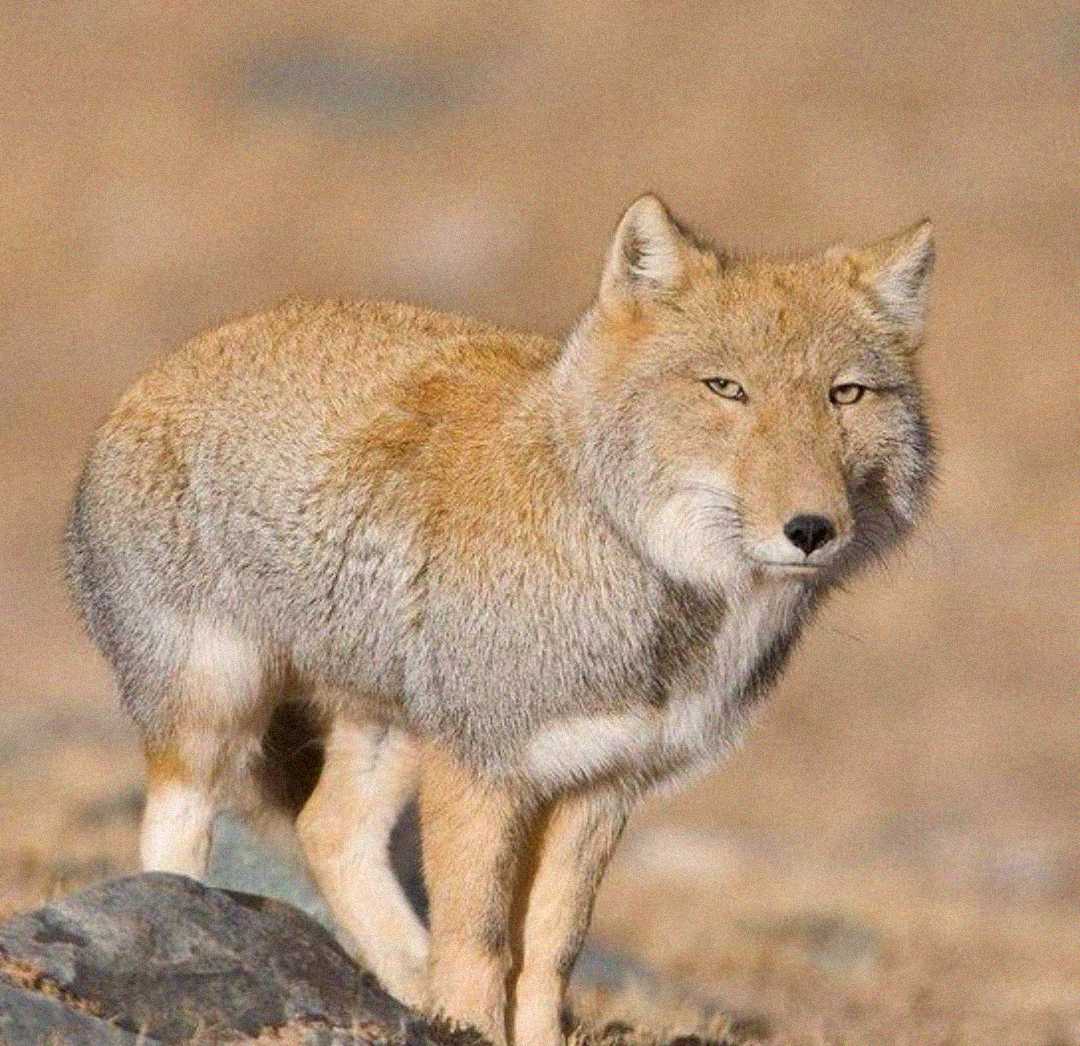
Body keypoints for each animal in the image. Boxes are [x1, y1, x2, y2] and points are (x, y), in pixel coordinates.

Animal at [64, 194, 934, 1046]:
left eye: (845, 394)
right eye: (726, 388)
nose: (812, 529)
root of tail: (173, 361)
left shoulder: (599, 783)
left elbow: (550, 951)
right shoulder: (481, 767)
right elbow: (481, 941)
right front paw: (468, 1021)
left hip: (390, 730)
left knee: (327, 831)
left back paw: (406, 981)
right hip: (215, 714)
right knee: (175, 839)